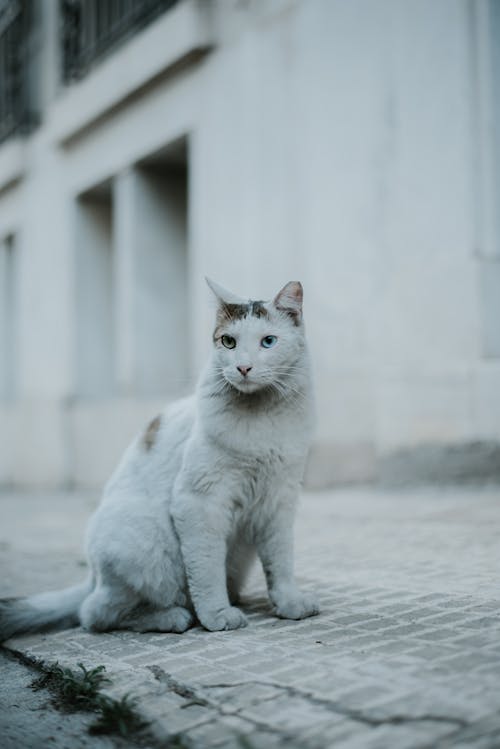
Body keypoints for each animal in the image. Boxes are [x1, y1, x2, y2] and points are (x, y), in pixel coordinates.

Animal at [0, 278, 320, 640]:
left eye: (268, 342)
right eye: (229, 341)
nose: (243, 367)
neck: (262, 417)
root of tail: (92, 577)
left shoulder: (278, 502)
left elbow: (280, 562)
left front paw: (289, 603)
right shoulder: (200, 502)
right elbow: (206, 570)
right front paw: (217, 616)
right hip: (146, 551)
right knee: (96, 613)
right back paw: (175, 617)